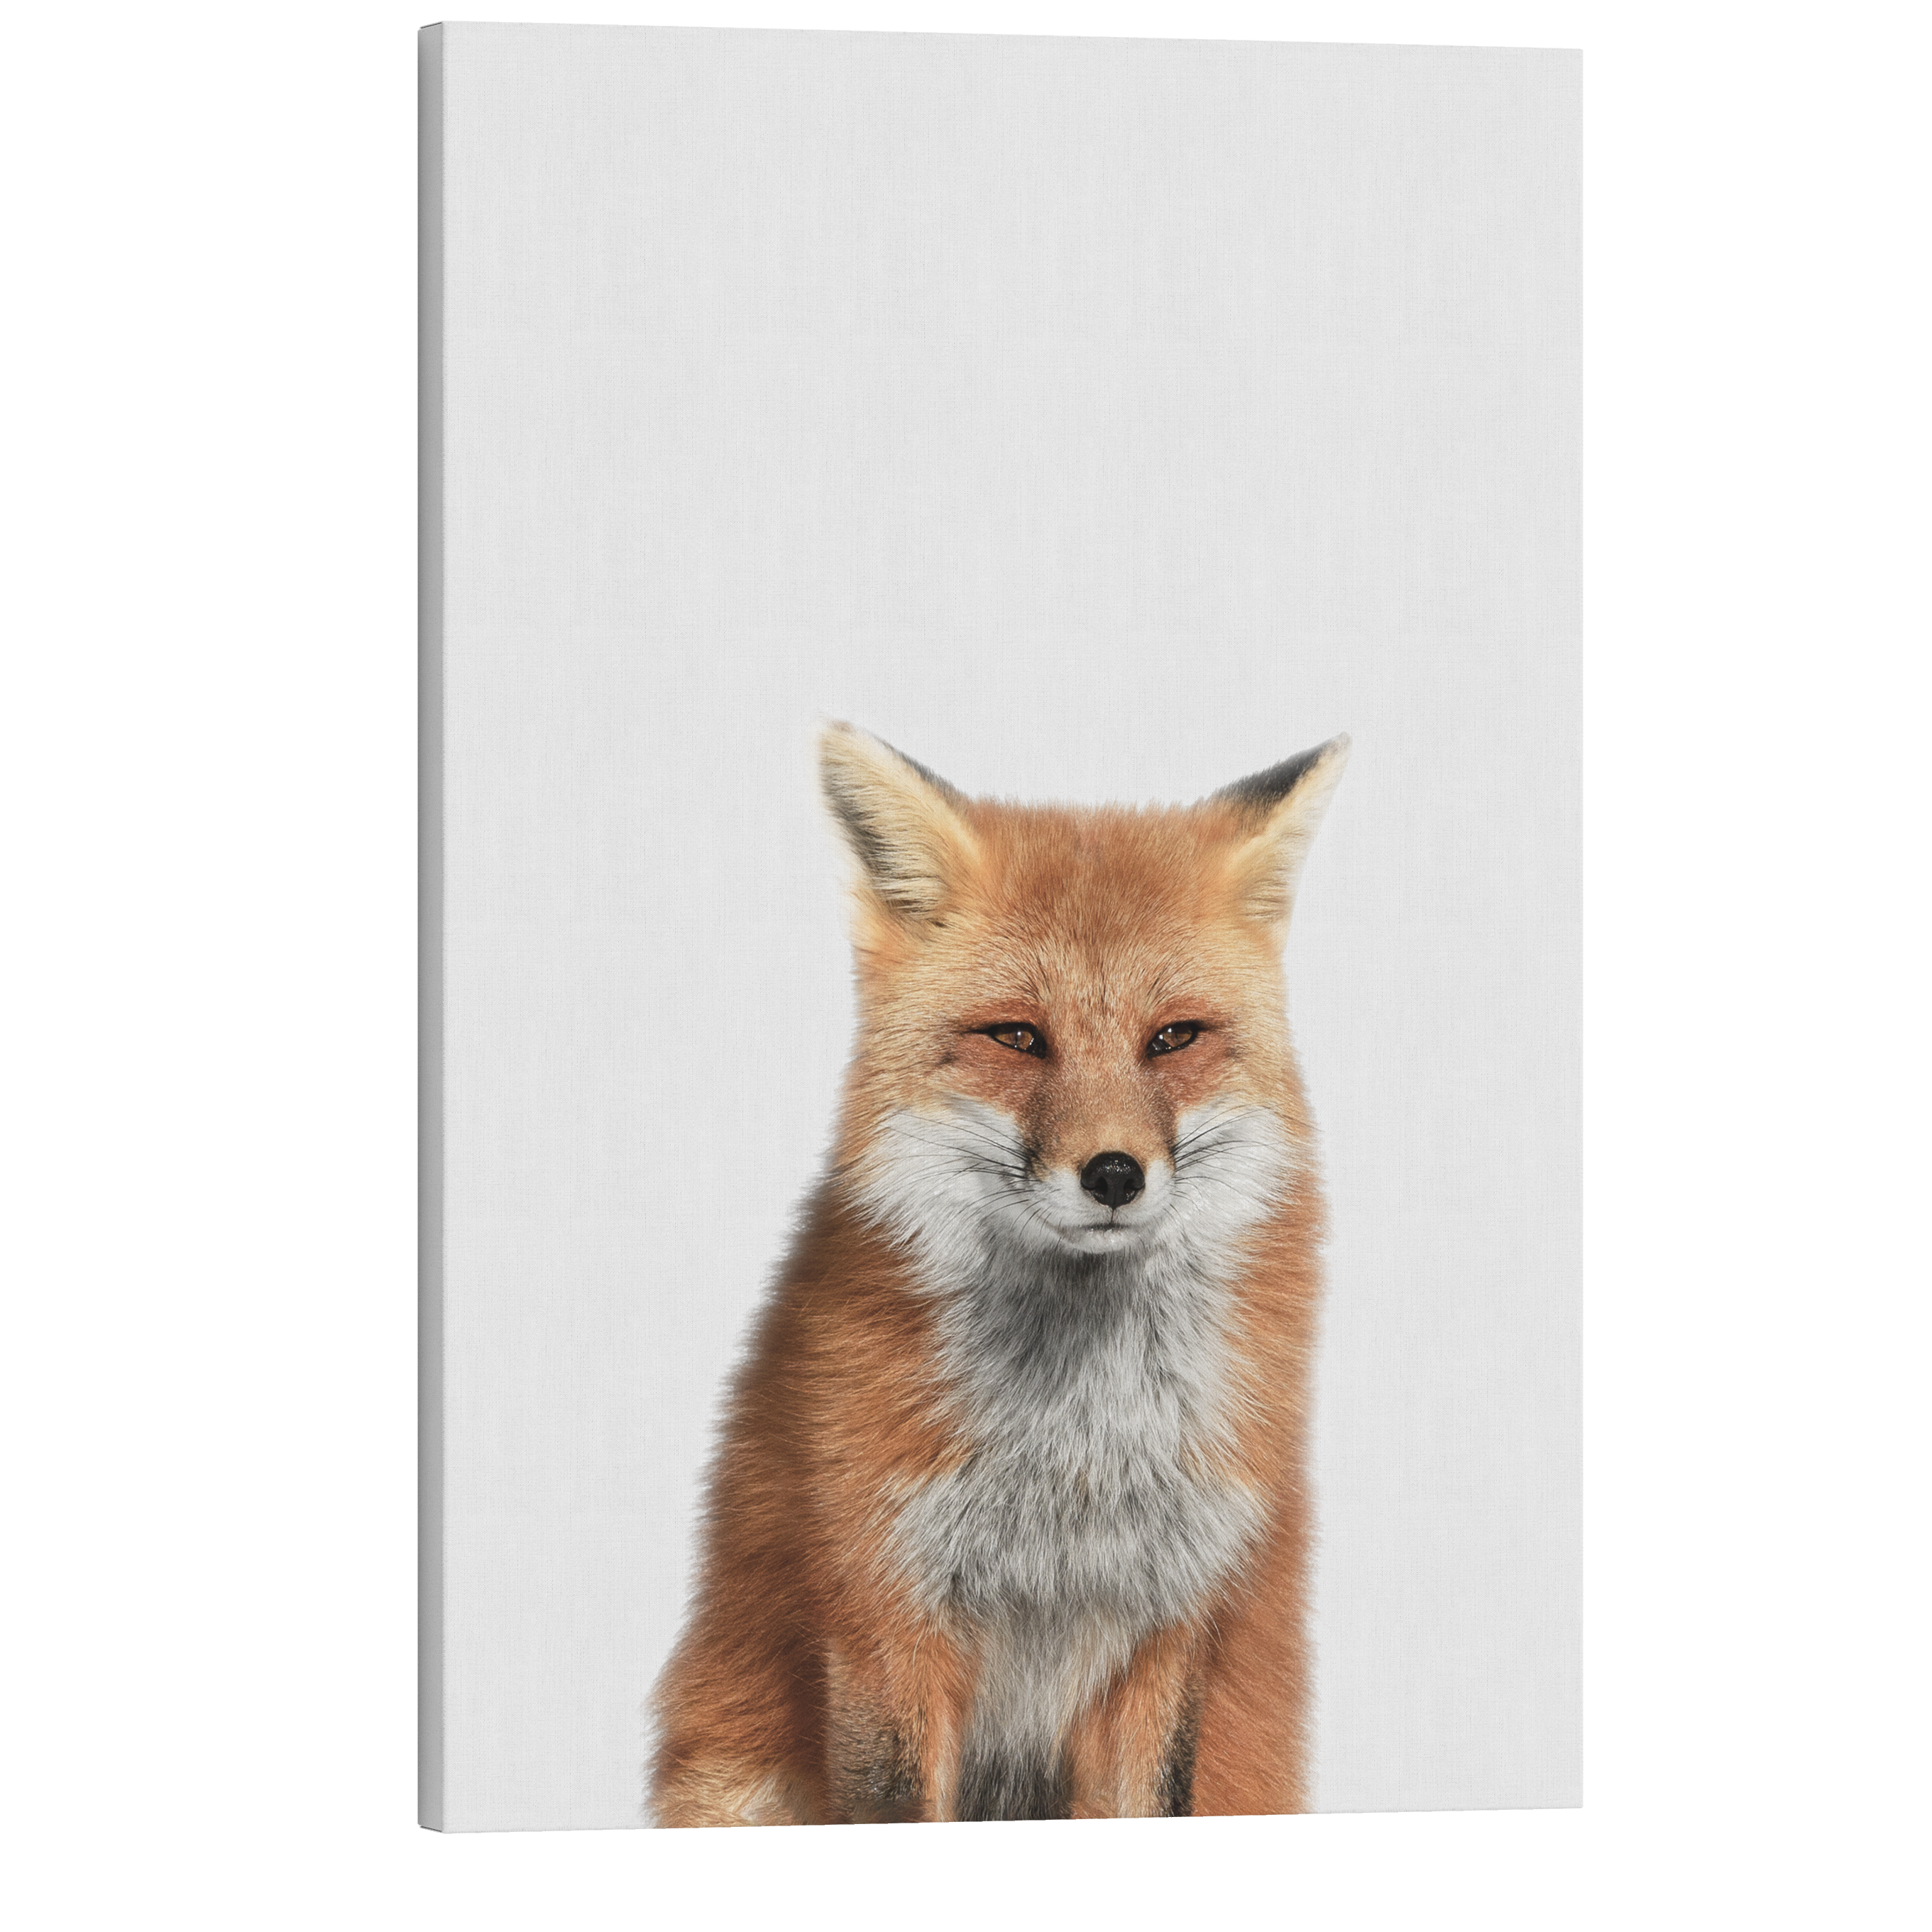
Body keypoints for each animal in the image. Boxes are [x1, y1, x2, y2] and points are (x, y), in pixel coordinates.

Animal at [648, 722, 1350, 1825]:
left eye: (1173, 1037)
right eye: (1016, 1036)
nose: (1114, 1174)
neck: (1073, 1458)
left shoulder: (1167, 1626)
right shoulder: (885, 1615)